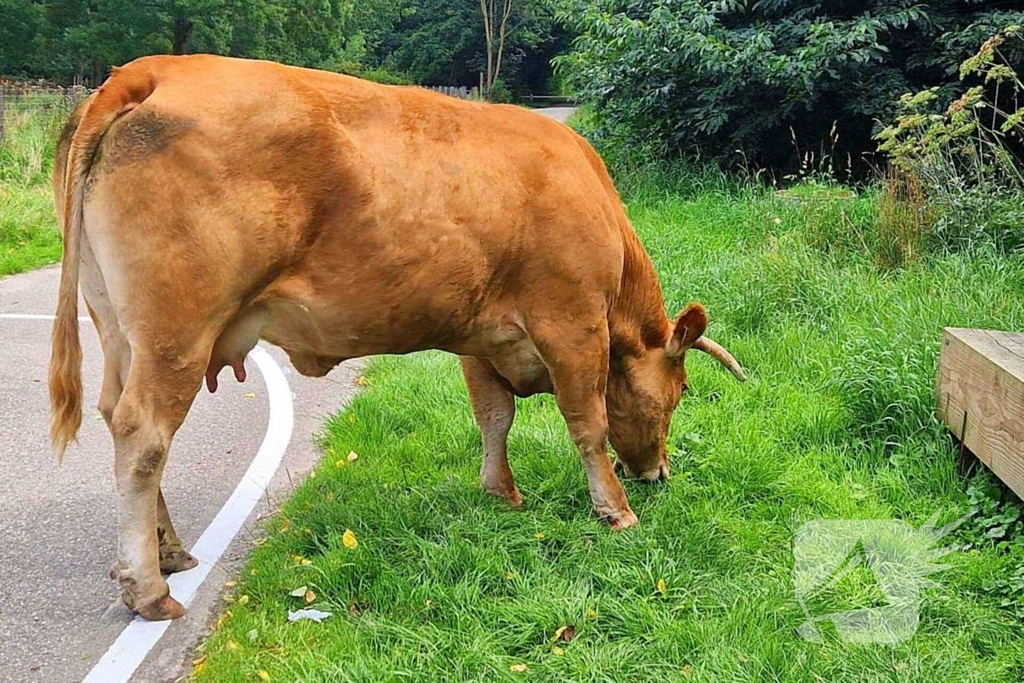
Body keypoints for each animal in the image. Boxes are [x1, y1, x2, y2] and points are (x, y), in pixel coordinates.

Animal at [49, 54, 745, 621]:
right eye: (679, 392)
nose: (658, 473)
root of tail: (150, 70)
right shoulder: (571, 322)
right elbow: (588, 422)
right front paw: (616, 510)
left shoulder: (481, 338)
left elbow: (494, 416)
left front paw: (502, 494)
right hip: (178, 329)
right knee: (144, 435)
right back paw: (147, 589)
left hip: (119, 328)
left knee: (115, 414)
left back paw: (168, 552)